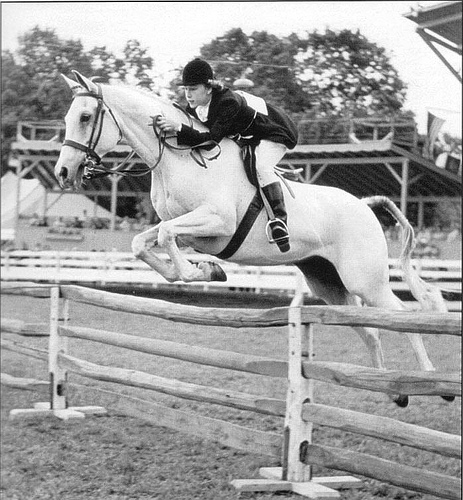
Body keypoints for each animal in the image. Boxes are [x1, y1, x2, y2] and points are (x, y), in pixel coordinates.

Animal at [54, 71, 449, 407]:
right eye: (67, 118)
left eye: (86, 117)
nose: (64, 172)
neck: (177, 158)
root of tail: (365, 207)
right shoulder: (184, 225)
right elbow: (144, 242)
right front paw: (205, 270)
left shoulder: (217, 221)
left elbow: (167, 237)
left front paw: (203, 272)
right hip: (329, 283)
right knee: (370, 330)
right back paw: (393, 391)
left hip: (365, 280)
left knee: (404, 316)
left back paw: (435, 382)